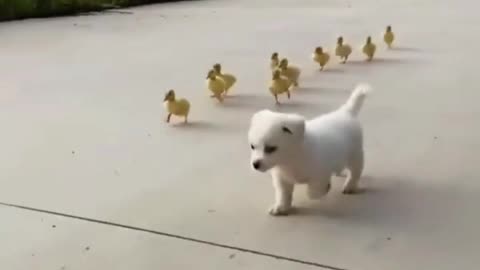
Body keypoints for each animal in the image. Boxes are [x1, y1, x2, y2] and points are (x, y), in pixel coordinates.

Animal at [248, 84, 372, 215]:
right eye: (252, 146)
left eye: (271, 148)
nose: (255, 164)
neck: (291, 158)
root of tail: (346, 112)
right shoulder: (282, 180)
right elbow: (283, 194)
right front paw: (281, 207)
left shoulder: (320, 174)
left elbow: (313, 192)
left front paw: (324, 188)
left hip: (355, 155)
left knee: (355, 172)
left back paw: (350, 186)